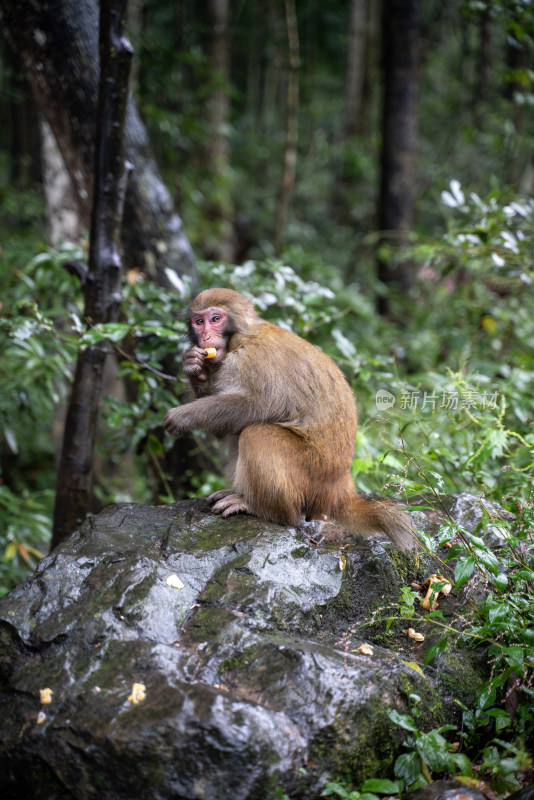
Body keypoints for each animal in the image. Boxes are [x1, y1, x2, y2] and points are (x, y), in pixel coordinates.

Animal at [165, 288, 416, 552]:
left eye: (215, 319)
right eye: (199, 322)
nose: (204, 336)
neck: (242, 339)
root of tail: (340, 490)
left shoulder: (252, 361)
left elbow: (252, 406)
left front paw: (184, 415)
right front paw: (194, 367)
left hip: (310, 476)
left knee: (257, 433)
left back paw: (262, 508)